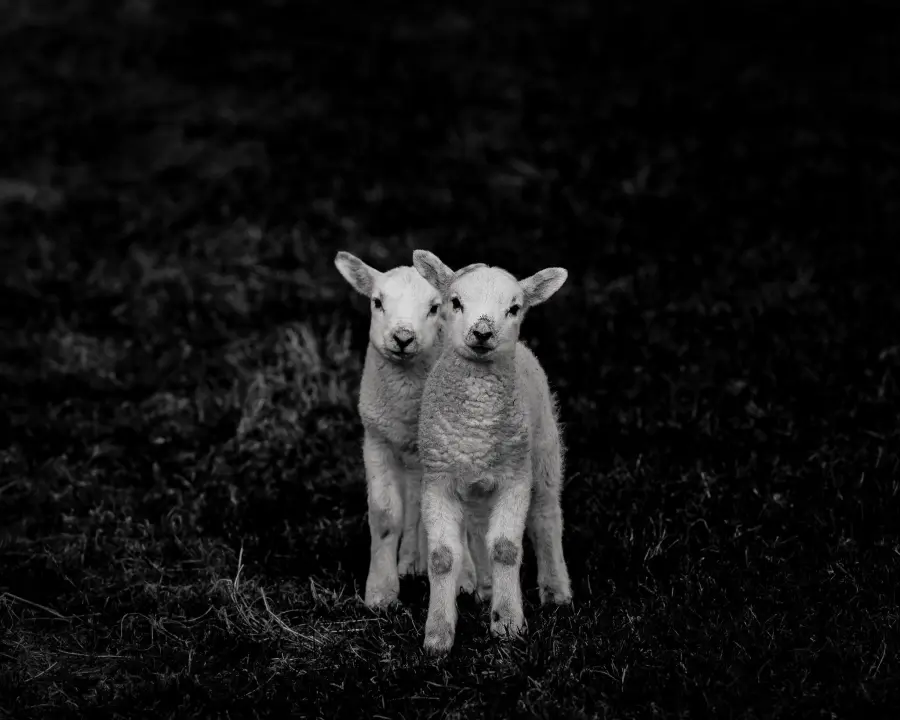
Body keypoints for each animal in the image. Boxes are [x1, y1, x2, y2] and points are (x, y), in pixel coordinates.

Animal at [334, 251, 477, 609]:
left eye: (434, 307)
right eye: (377, 302)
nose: (402, 338)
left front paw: (464, 580)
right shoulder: (377, 440)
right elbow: (387, 516)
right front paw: (381, 591)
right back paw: (412, 562)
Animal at [411, 249, 573, 655]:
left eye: (514, 308)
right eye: (455, 302)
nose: (483, 332)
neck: (476, 427)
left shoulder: (514, 478)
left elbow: (505, 548)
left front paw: (508, 623)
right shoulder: (438, 480)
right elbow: (442, 558)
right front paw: (438, 635)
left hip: (543, 453)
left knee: (546, 516)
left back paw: (556, 590)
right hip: (477, 483)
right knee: (477, 525)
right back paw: (485, 588)